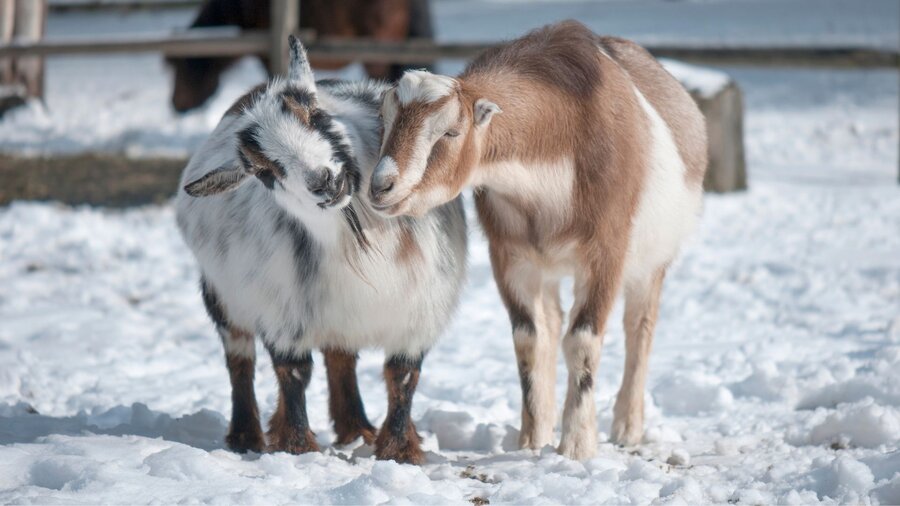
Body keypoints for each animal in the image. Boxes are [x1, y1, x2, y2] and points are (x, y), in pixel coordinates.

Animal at [175, 36, 467, 464]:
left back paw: (356, 429)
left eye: (314, 115)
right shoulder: (283, 312)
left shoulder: (419, 309)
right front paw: (297, 448)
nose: (323, 181)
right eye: (263, 170)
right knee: (240, 359)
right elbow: (293, 372)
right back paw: (247, 437)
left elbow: (402, 376)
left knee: (340, 357)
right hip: (223, 296)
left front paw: (399, 450)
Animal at [369, 21, 707, 460]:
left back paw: (627, 427)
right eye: (385, 121)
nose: (381, 186)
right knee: (552, 324)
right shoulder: (512, 257)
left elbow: (583, 340)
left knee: (640, 328)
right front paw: (531, 441)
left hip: (653, 262)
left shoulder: (606, 254)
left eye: (451, 131)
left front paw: (577, 445)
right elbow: (529, 339)